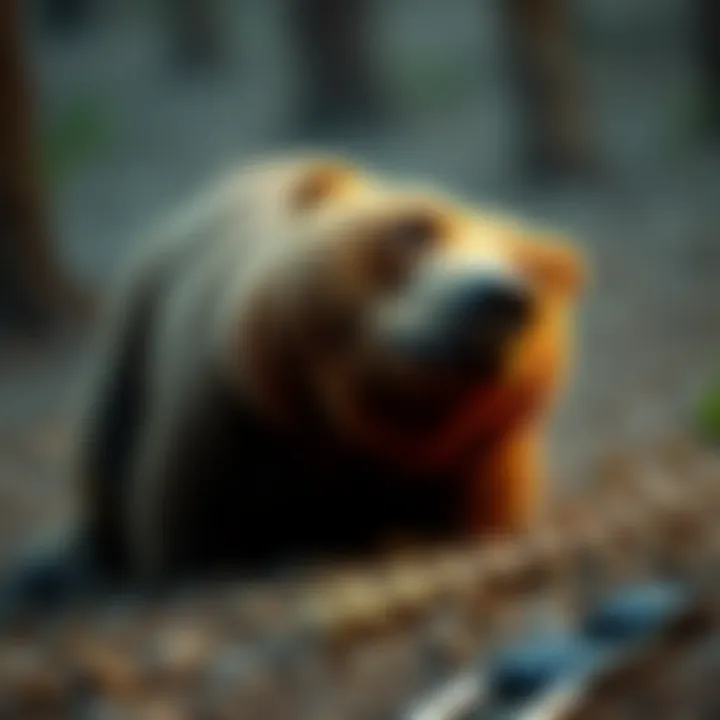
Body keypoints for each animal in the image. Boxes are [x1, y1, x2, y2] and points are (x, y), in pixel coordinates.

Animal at [2, 154, 586, 607]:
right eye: (414, 229)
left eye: (532, 268)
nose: (499, 298)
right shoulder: (229, 427)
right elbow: (195, 537)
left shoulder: (478, 466)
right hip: (135, 331)